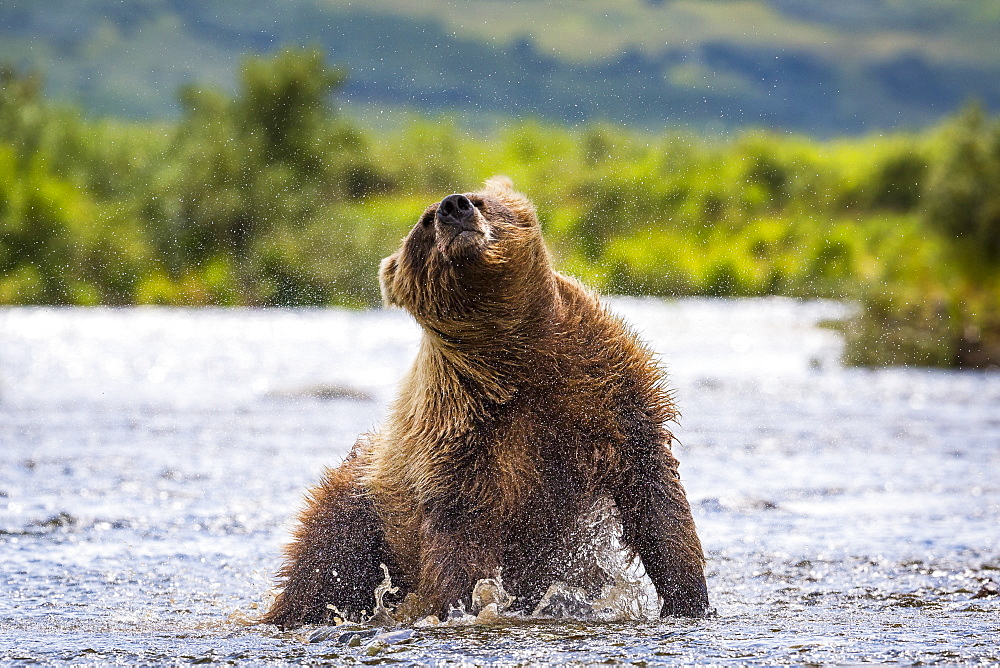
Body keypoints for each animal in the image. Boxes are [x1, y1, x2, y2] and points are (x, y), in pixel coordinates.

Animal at [262, 176, 708, 628]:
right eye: (425, 221)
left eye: (480, 200)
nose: (452, 206)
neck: (512, 348)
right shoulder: (459, 439)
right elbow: (459, 540)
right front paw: (462, 607)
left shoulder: (609, 390)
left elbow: (655, 497)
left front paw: (688, 599)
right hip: (363, 510)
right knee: (324, 567)